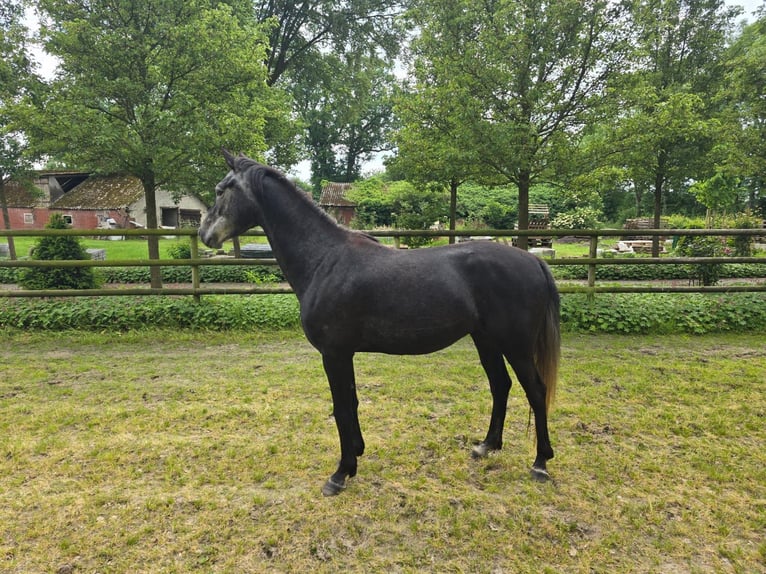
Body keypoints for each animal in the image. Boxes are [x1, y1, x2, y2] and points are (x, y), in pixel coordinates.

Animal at [198, 151, 560, 498]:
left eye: (220, 189)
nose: (205, 234)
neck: (325, 260)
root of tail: (533, 260)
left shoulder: (334, 354)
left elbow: (342, 408)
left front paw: (340, 474)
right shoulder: (344, 354)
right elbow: (351, 403)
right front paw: (356, 455)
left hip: (516, 346)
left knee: (536, 390)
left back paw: (541, 463)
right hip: (485, 340)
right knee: (501, 385)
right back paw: (487, 446)